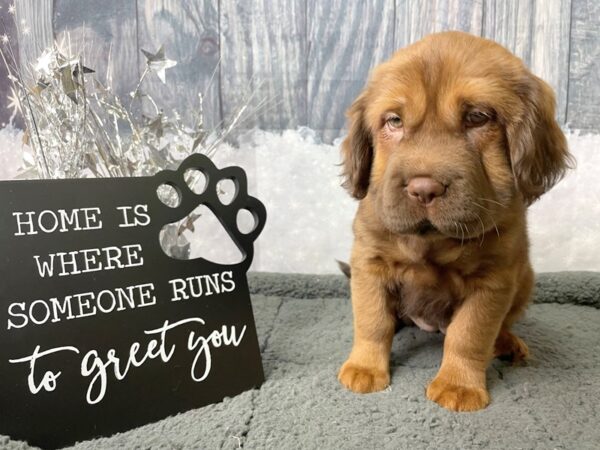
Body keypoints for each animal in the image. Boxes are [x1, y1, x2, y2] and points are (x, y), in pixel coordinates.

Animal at [338, 31, 572, 412]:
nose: (423, 189)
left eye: (477, 117)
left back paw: (507, 343)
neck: (432, 241)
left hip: (525, 280)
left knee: (499, 325)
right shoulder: (369, 263)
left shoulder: (493, 280)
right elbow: (373, 320)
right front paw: (364, 367)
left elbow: (469, 335)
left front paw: (459, 385)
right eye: (394, 121)